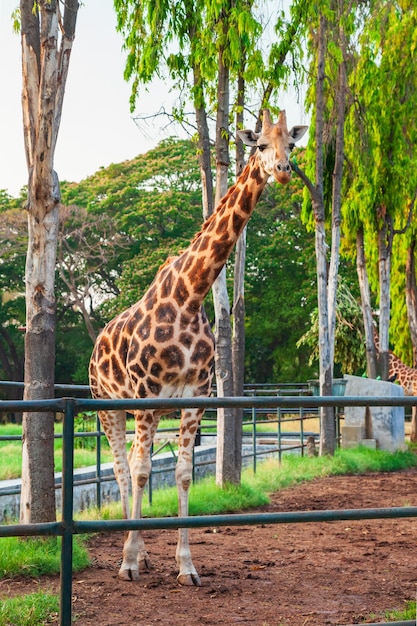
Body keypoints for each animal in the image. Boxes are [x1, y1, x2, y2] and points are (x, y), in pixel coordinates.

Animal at [88, 108, 308, 584]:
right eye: (260, 144)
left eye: (292, 144)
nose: (282, 170)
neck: (190, 295)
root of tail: (95, 344)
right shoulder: (147, 395)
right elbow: (141, 471)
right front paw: (129, 563)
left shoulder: (195, 397)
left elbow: (185, 474)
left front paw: (185, 566)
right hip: (107, 405)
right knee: (121, 467)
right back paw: (132, 554)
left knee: (130, 463)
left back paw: (145, 552)